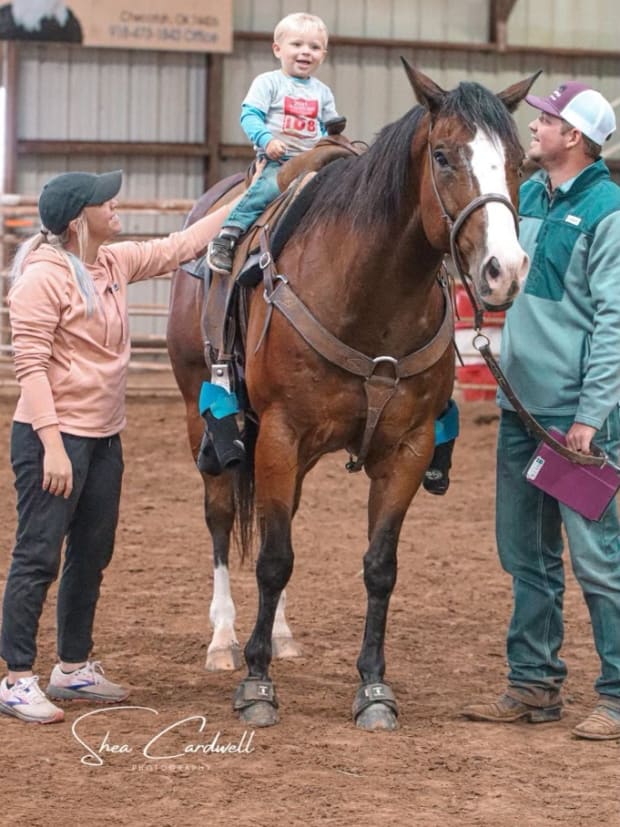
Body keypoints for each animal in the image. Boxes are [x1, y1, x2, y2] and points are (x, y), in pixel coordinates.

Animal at [166, 64, 536, 732]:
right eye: (443, 155)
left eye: (519, 161)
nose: (505, 270)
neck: (369, 297)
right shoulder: (280, 433)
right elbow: (273, 559)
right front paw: (256, 684)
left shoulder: (407, 449)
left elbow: (378, 567)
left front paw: (374, 687)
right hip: (202, 418)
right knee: (223, 517)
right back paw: (224, 639)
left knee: (275, 518)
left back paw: (280, 633)